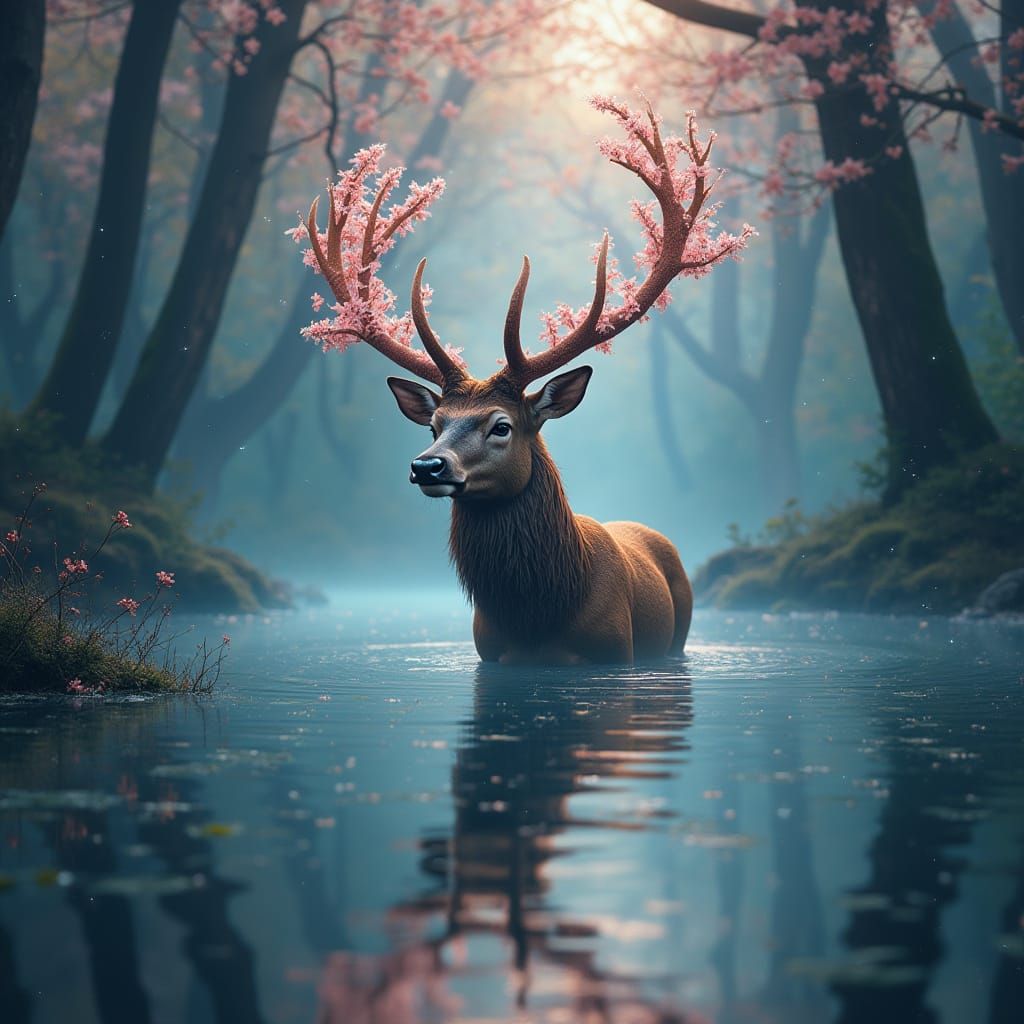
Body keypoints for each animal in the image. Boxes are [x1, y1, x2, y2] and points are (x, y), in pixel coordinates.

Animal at [296, 97, 753, 665]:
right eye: (434, 425)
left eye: (501, 426)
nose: (427, 466)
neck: (540, 617)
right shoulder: (490, 654)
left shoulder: (615, 652)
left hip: (681, 629)